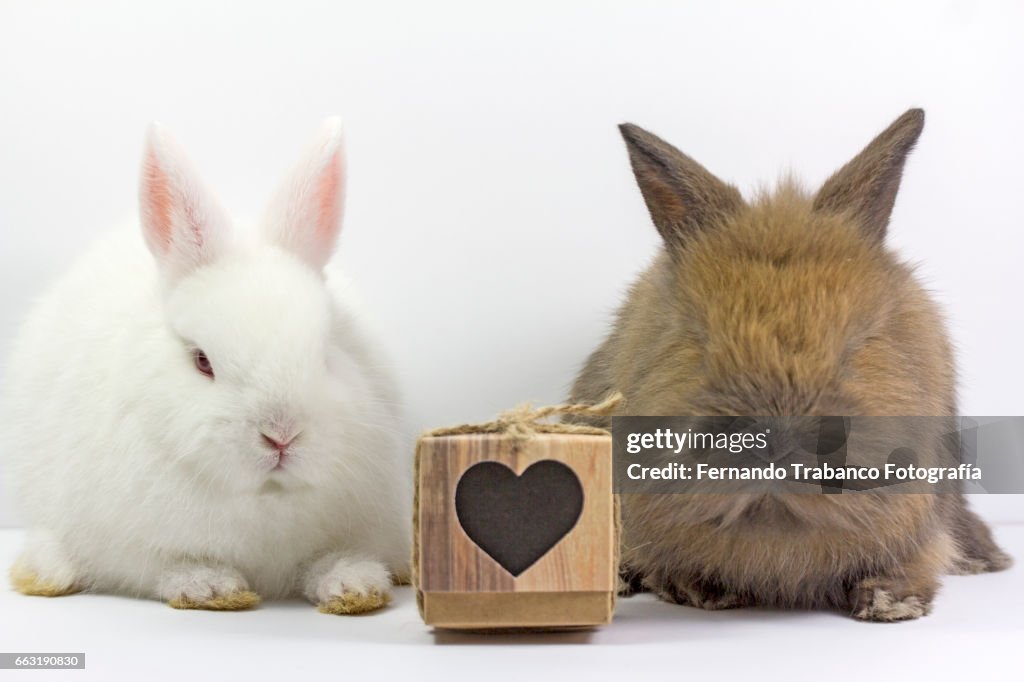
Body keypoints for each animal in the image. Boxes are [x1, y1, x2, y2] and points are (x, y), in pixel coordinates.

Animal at [1, 118, 410, 614]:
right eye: (202, 361)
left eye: (326, 351)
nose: (281, 435)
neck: (264, 500)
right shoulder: (132, 545)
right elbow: (173, 564)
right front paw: (212, 588)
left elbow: (335, 557)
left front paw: (354, 587)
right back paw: (43, 572)